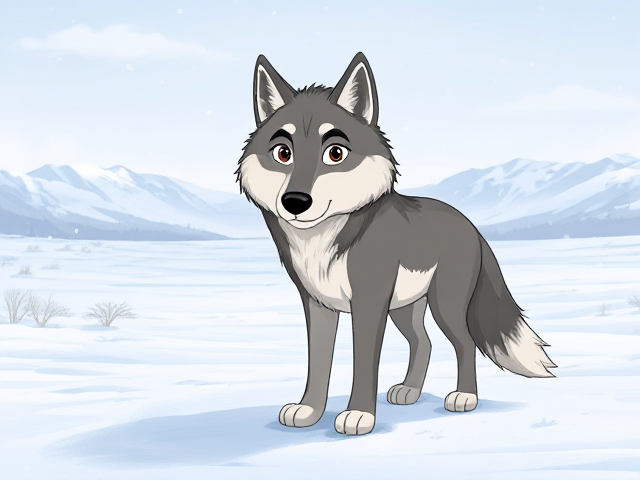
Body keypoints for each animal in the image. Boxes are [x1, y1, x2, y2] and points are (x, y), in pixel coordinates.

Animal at [235, 52, 556, 436]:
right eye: (283, 153)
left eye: (335, 153)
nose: (295, 202)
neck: (323, 240)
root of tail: (470, 225)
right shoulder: (318, 304)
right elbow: (319, 365)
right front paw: (309, 411)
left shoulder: (369, 303)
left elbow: (363, 364)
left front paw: (359, 415)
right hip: (405, 308)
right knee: (424, 342)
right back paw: (410, 391)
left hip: (444, 305)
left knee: (464, 343)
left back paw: (464, 397)